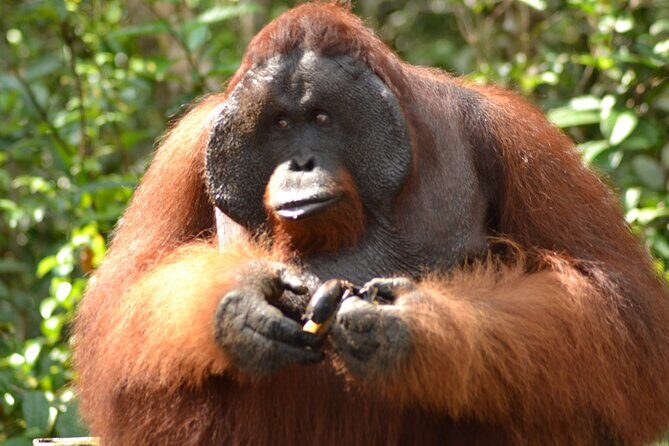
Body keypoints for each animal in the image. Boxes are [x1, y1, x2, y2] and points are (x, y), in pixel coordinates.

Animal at [73, 3, 669, 445]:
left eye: (322, 118)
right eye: (280, 124)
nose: (301, 162)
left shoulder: (513, 134)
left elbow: (620, 303)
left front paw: (407, 327)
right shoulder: (184, 149)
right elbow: (120, 305)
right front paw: (243, 305)